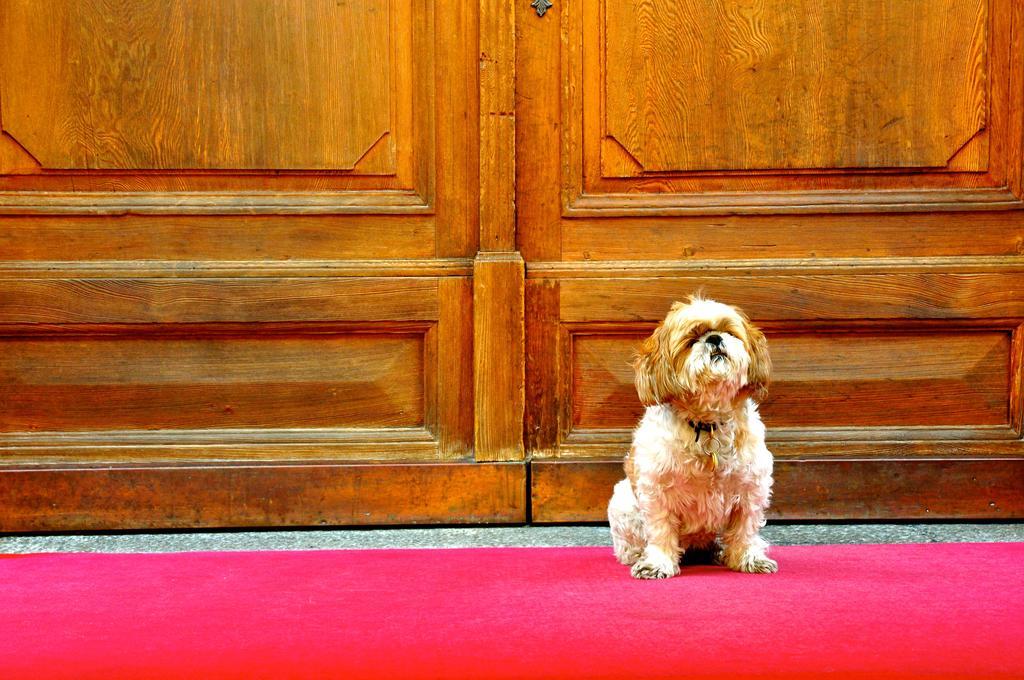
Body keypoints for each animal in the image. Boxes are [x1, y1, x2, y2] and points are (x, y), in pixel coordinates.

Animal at [606, 294, 774, 577]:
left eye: (729, 331)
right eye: (692, 339)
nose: (714, 338)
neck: (707, 424)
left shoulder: (751, 486)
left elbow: (746, 529)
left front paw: (749, 558)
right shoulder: (656, 490)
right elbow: (660, 530)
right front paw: (657, 562)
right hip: (623, 501)